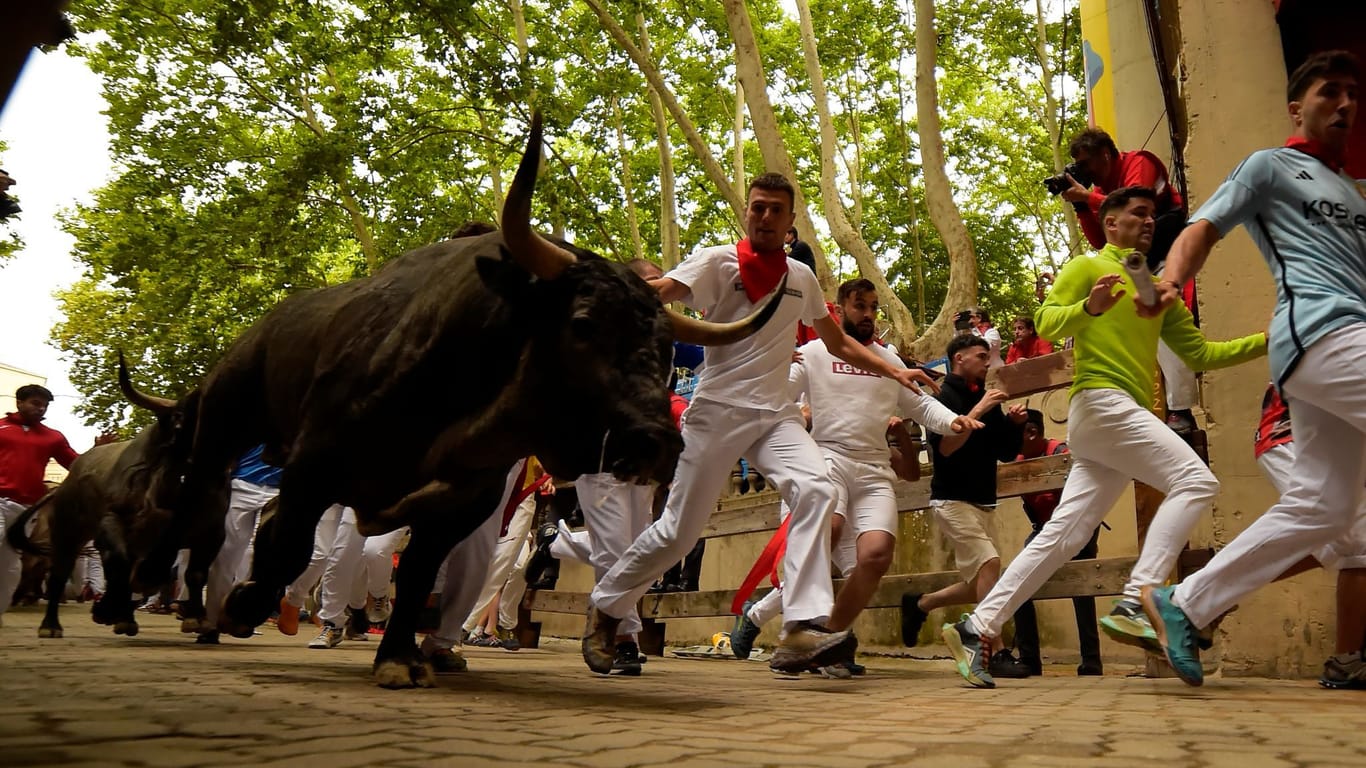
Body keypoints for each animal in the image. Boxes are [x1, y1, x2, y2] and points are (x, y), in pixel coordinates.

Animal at [148, 112, 781, 680]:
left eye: (667, 349)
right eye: (583, 323)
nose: (656, 442)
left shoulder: (464, 499)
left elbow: (417, 574)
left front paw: (399, 657)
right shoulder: (314, 463)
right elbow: (293, 545)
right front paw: (246, 606)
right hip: (223, 424)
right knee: (210, 518)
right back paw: (198, 607)